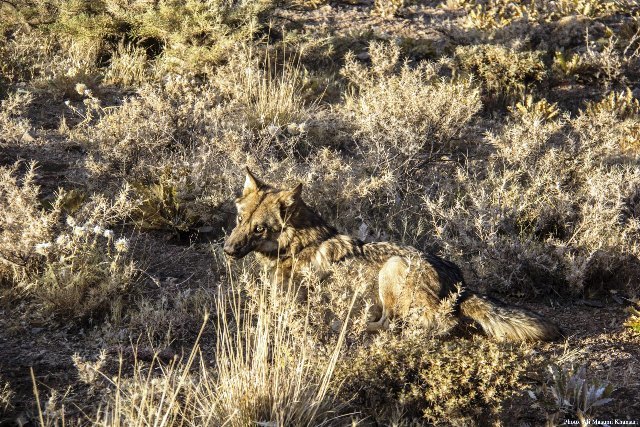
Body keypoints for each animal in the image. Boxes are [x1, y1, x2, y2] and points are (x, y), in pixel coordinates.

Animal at [222, 169, 564, 342]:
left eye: (259, 229)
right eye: (240, 221)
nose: (227, 249)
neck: (299, 242)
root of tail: (461, 284)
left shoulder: (288, 307)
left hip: (392, 270)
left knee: (429, 323)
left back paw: (354, 327)